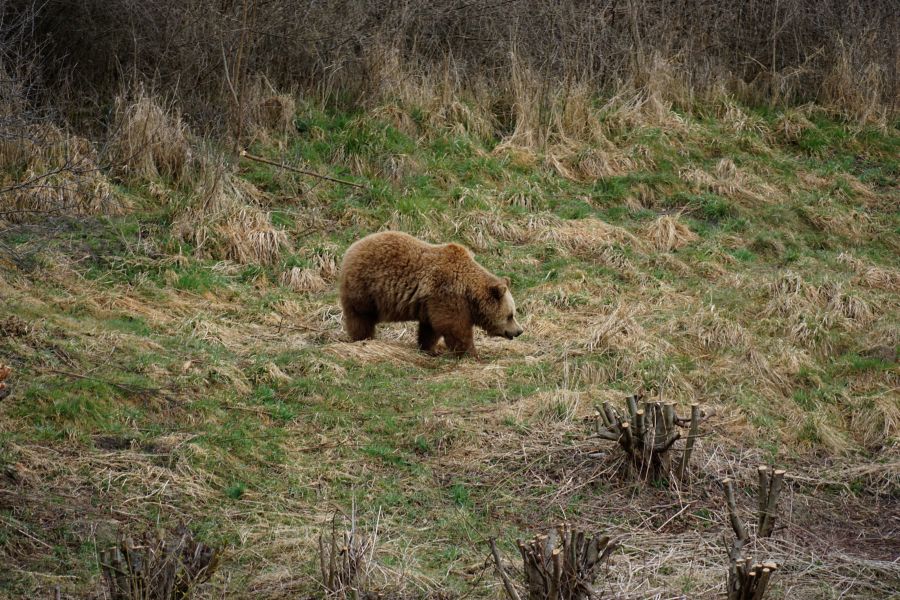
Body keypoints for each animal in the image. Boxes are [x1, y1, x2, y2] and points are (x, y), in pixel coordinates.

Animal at [338, 231, 523, 357]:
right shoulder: (448, 294)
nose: (519, 331)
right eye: (510, 315)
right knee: (361, 317)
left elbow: (431, 328)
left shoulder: (431, 302)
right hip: (365, 287)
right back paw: (363, 339)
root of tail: (351, 249)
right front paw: (471, 354)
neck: (469, 292)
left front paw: (431, 348)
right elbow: (455, 327)